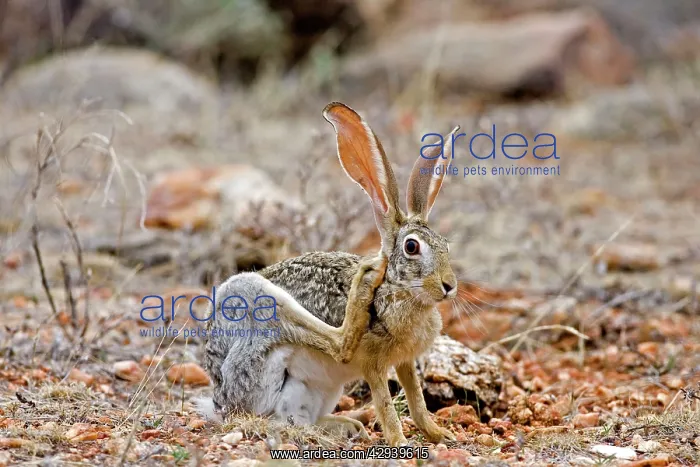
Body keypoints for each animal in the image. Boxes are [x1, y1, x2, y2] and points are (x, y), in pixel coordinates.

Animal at [202, 102, 460, 446]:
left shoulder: (405, 362)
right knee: (337, 346)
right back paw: (365, 280)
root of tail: (220, 399)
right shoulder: (373, 365)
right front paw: (400, 442)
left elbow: (417, 400)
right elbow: (386, 404)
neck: (398, 289)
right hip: (254, 304)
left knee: (295, 419)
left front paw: (439, 433)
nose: (449, 286)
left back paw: (347, 426)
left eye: (446, 244)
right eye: (412, 247)